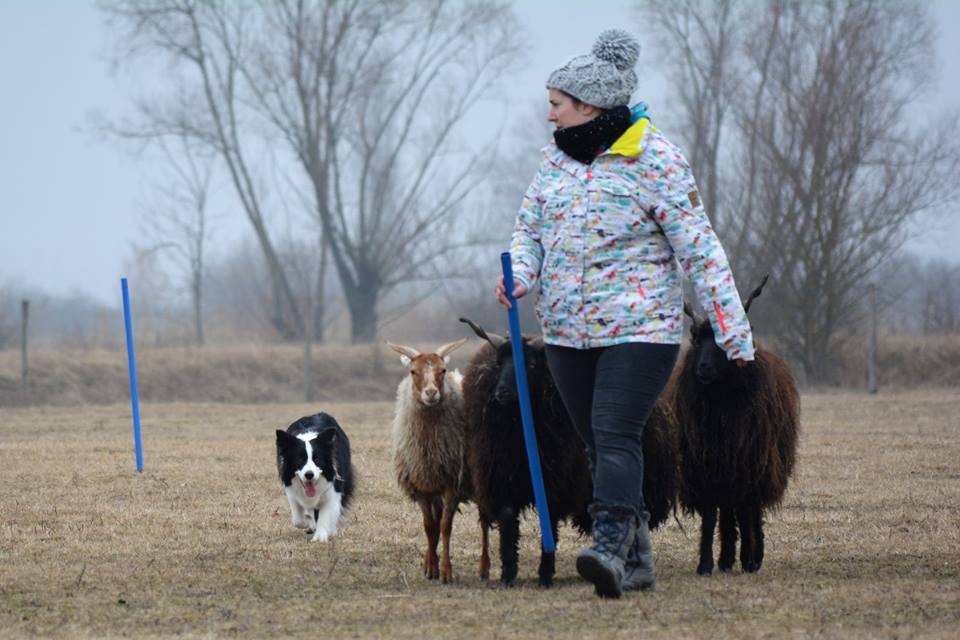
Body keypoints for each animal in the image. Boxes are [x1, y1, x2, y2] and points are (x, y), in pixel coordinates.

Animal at [275, 413, 355, 542]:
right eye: (299, 460)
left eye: (317, 460)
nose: (309, 475)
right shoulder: (291, 489)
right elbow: (297, 520)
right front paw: (309, 524)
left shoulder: (334, 488)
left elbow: (326, 513)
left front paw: (320, 537)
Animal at [387, 338, 489, 584]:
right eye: (413, 371)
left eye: (442, 370)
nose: (431, 393)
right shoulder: (422, 486)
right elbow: (429, 527)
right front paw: (431, 567)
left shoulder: (452, 484)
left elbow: (444, 527)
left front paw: (445, 571)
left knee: (484, 522)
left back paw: (484, 568)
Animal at [459, 317, 678, 587]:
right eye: (499, 363)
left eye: (531, 364)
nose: (502, 394)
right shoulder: (503, 479)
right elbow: (509, 525)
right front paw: (508, 575)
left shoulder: (555, 481)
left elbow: (550, 526)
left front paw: (545, 575)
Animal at [667, 275, 800, 576]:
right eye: (696, 340)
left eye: (725, 342)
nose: (703, 368)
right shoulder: (705, 467)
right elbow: (710, 517)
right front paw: (705, 564)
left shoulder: (749, 465)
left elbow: (747, 512)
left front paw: (750, 558)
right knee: (728, 512)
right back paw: (726, 559)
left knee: (748, 511)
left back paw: (751, 556)